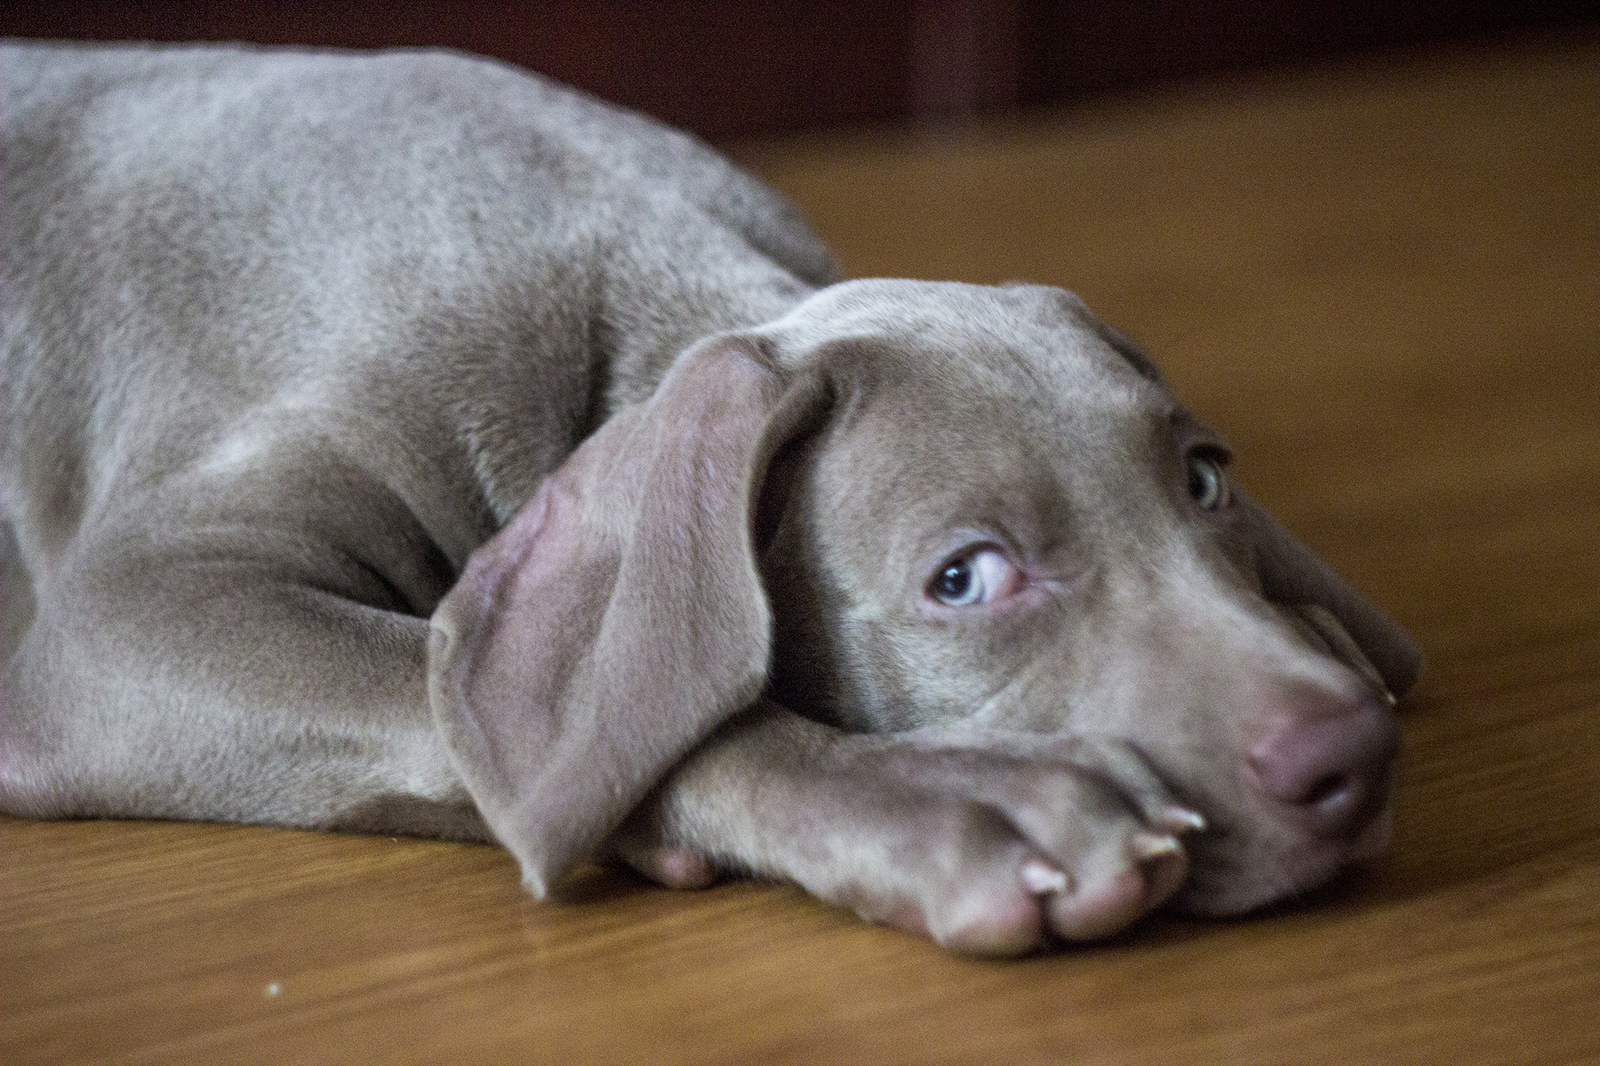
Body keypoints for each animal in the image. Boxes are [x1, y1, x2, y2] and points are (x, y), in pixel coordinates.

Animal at [0, 43, 1427, 953]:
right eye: (963, 578)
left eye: (1204, 479)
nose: (1347, 752)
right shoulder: (125, 621)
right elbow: (526, 701)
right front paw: (960, 799)